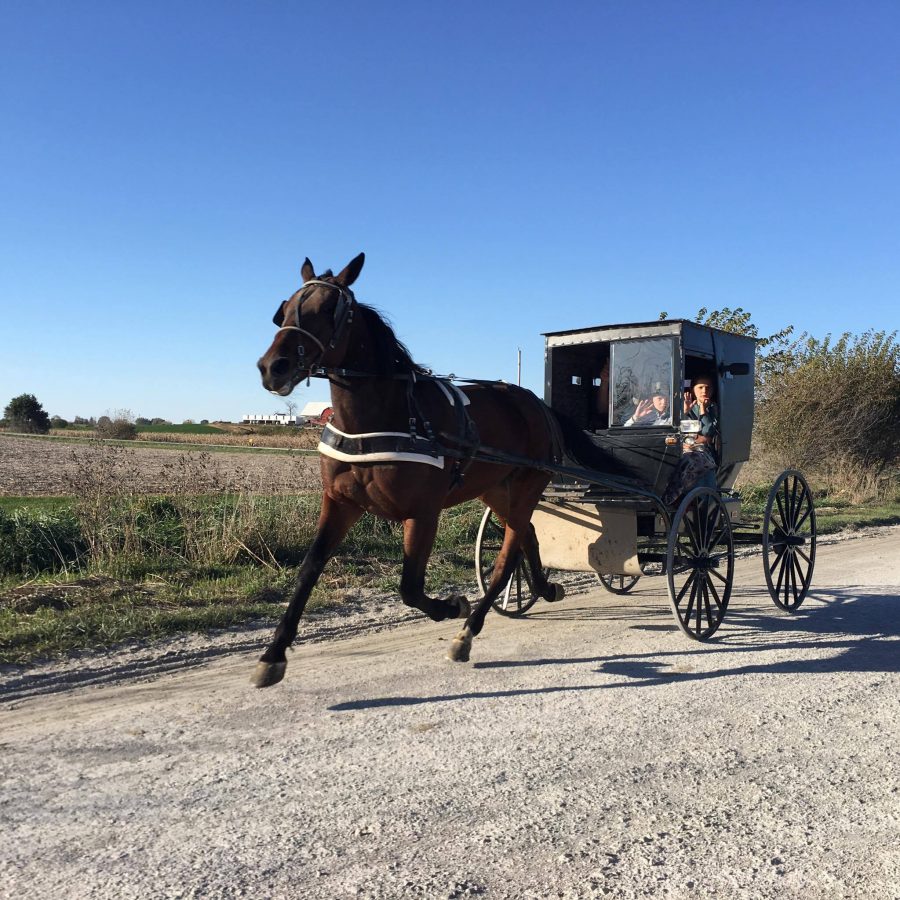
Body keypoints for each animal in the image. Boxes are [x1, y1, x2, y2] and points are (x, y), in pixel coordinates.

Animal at [251, 253, 564, 688]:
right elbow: (308, 570)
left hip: (525, 488)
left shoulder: (423, 513)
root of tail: (535, 403)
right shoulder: (340, 502)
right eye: (284, 310)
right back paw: (542, 588)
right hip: (497, 491)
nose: (273, 367)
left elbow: (410, 588)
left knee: (508, 554)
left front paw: (453, 606)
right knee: (528, 535)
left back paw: (469, 630)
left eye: (329, 309)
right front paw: (273, 654)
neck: (383, 419)